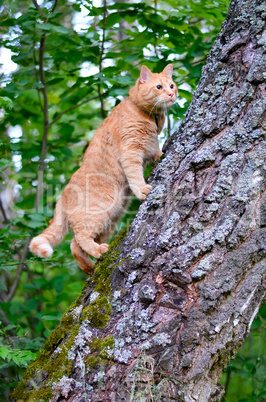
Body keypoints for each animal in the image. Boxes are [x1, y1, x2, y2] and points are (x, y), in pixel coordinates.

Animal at [29, 65, 177, 274]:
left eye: (171, 85)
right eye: (159, 87)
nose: (172, 93)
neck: (150, 115)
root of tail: (62, 197)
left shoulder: (150, 146)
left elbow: (157, 152)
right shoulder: (130, 151)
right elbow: (135, 175)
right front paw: (143, 190)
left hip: (110, 220)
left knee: (75, 246)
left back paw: (91, 267)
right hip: (97, 215)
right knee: (79, 239)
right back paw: (98, 253)